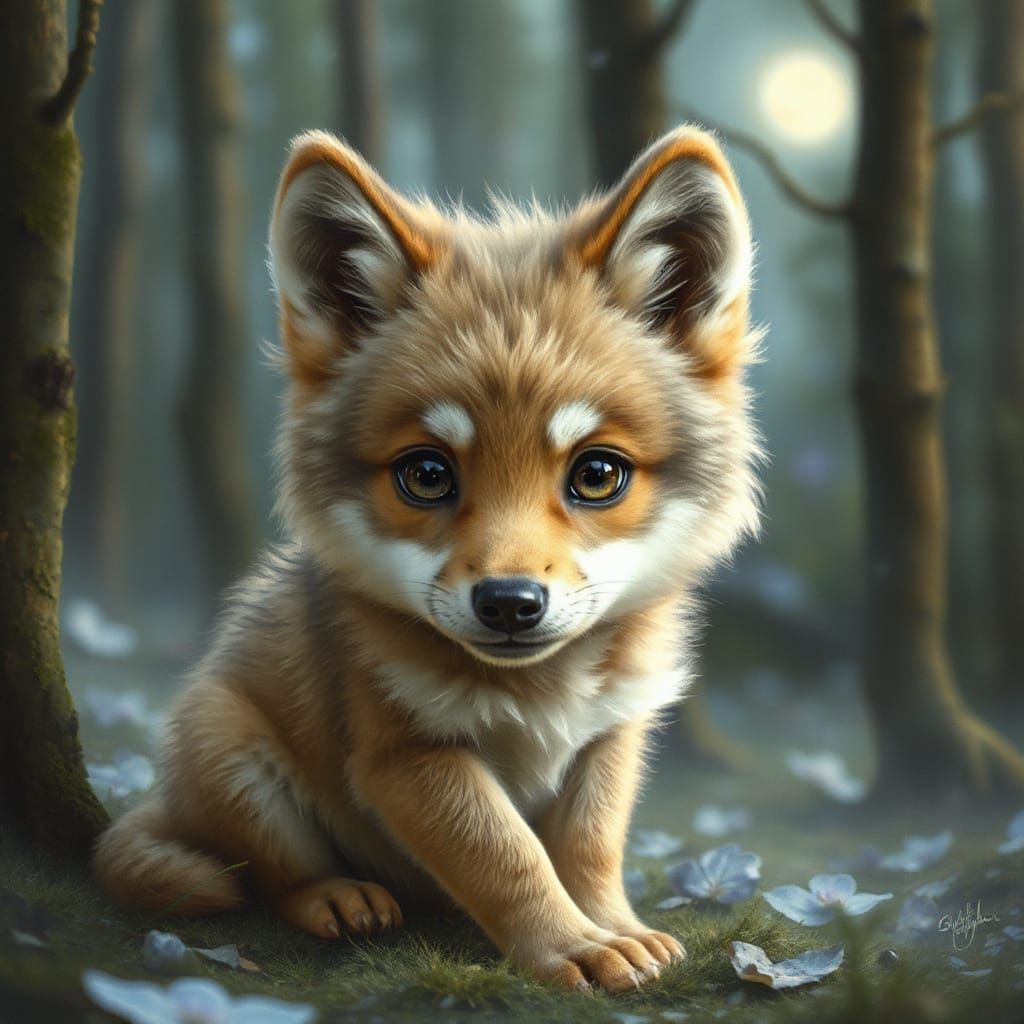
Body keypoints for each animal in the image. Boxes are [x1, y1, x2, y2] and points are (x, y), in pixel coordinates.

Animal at [94, 126, 762, 993]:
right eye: (427, 473)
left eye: (597, 474)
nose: (510, 602)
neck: (537, 697)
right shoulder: (407, 753)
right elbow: (507, 856)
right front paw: (570, 946)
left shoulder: (611, 736)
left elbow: (588, 849)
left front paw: (615, 929)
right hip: (232, 751)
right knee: (271, 875)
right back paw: (339, 898)